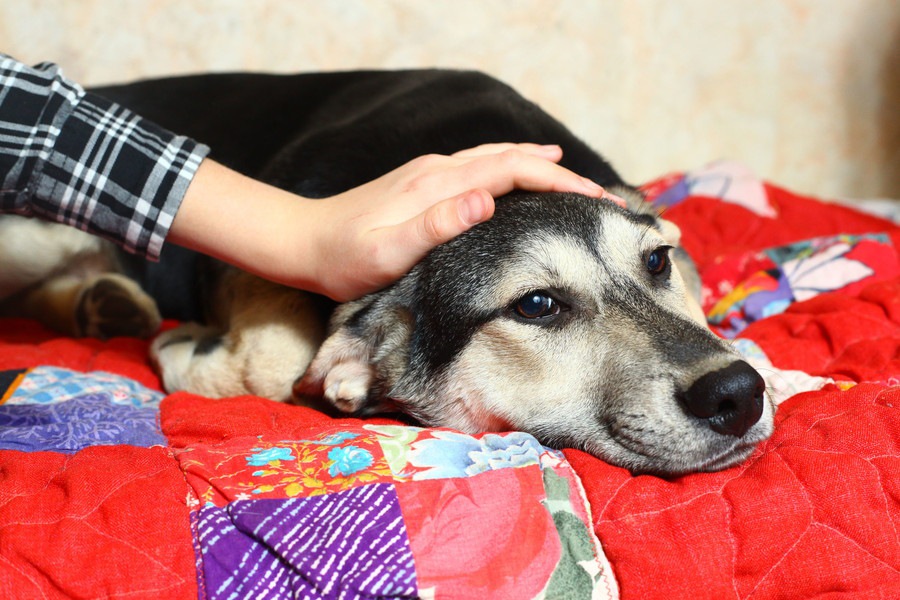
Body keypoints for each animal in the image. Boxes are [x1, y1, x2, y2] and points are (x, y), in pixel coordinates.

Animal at [0, 69, 772, 474]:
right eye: (537, 306)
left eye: (657, 261)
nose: (737, 394)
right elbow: (272, 365)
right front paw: (181, 347)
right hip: (31, 232)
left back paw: (105, 304)